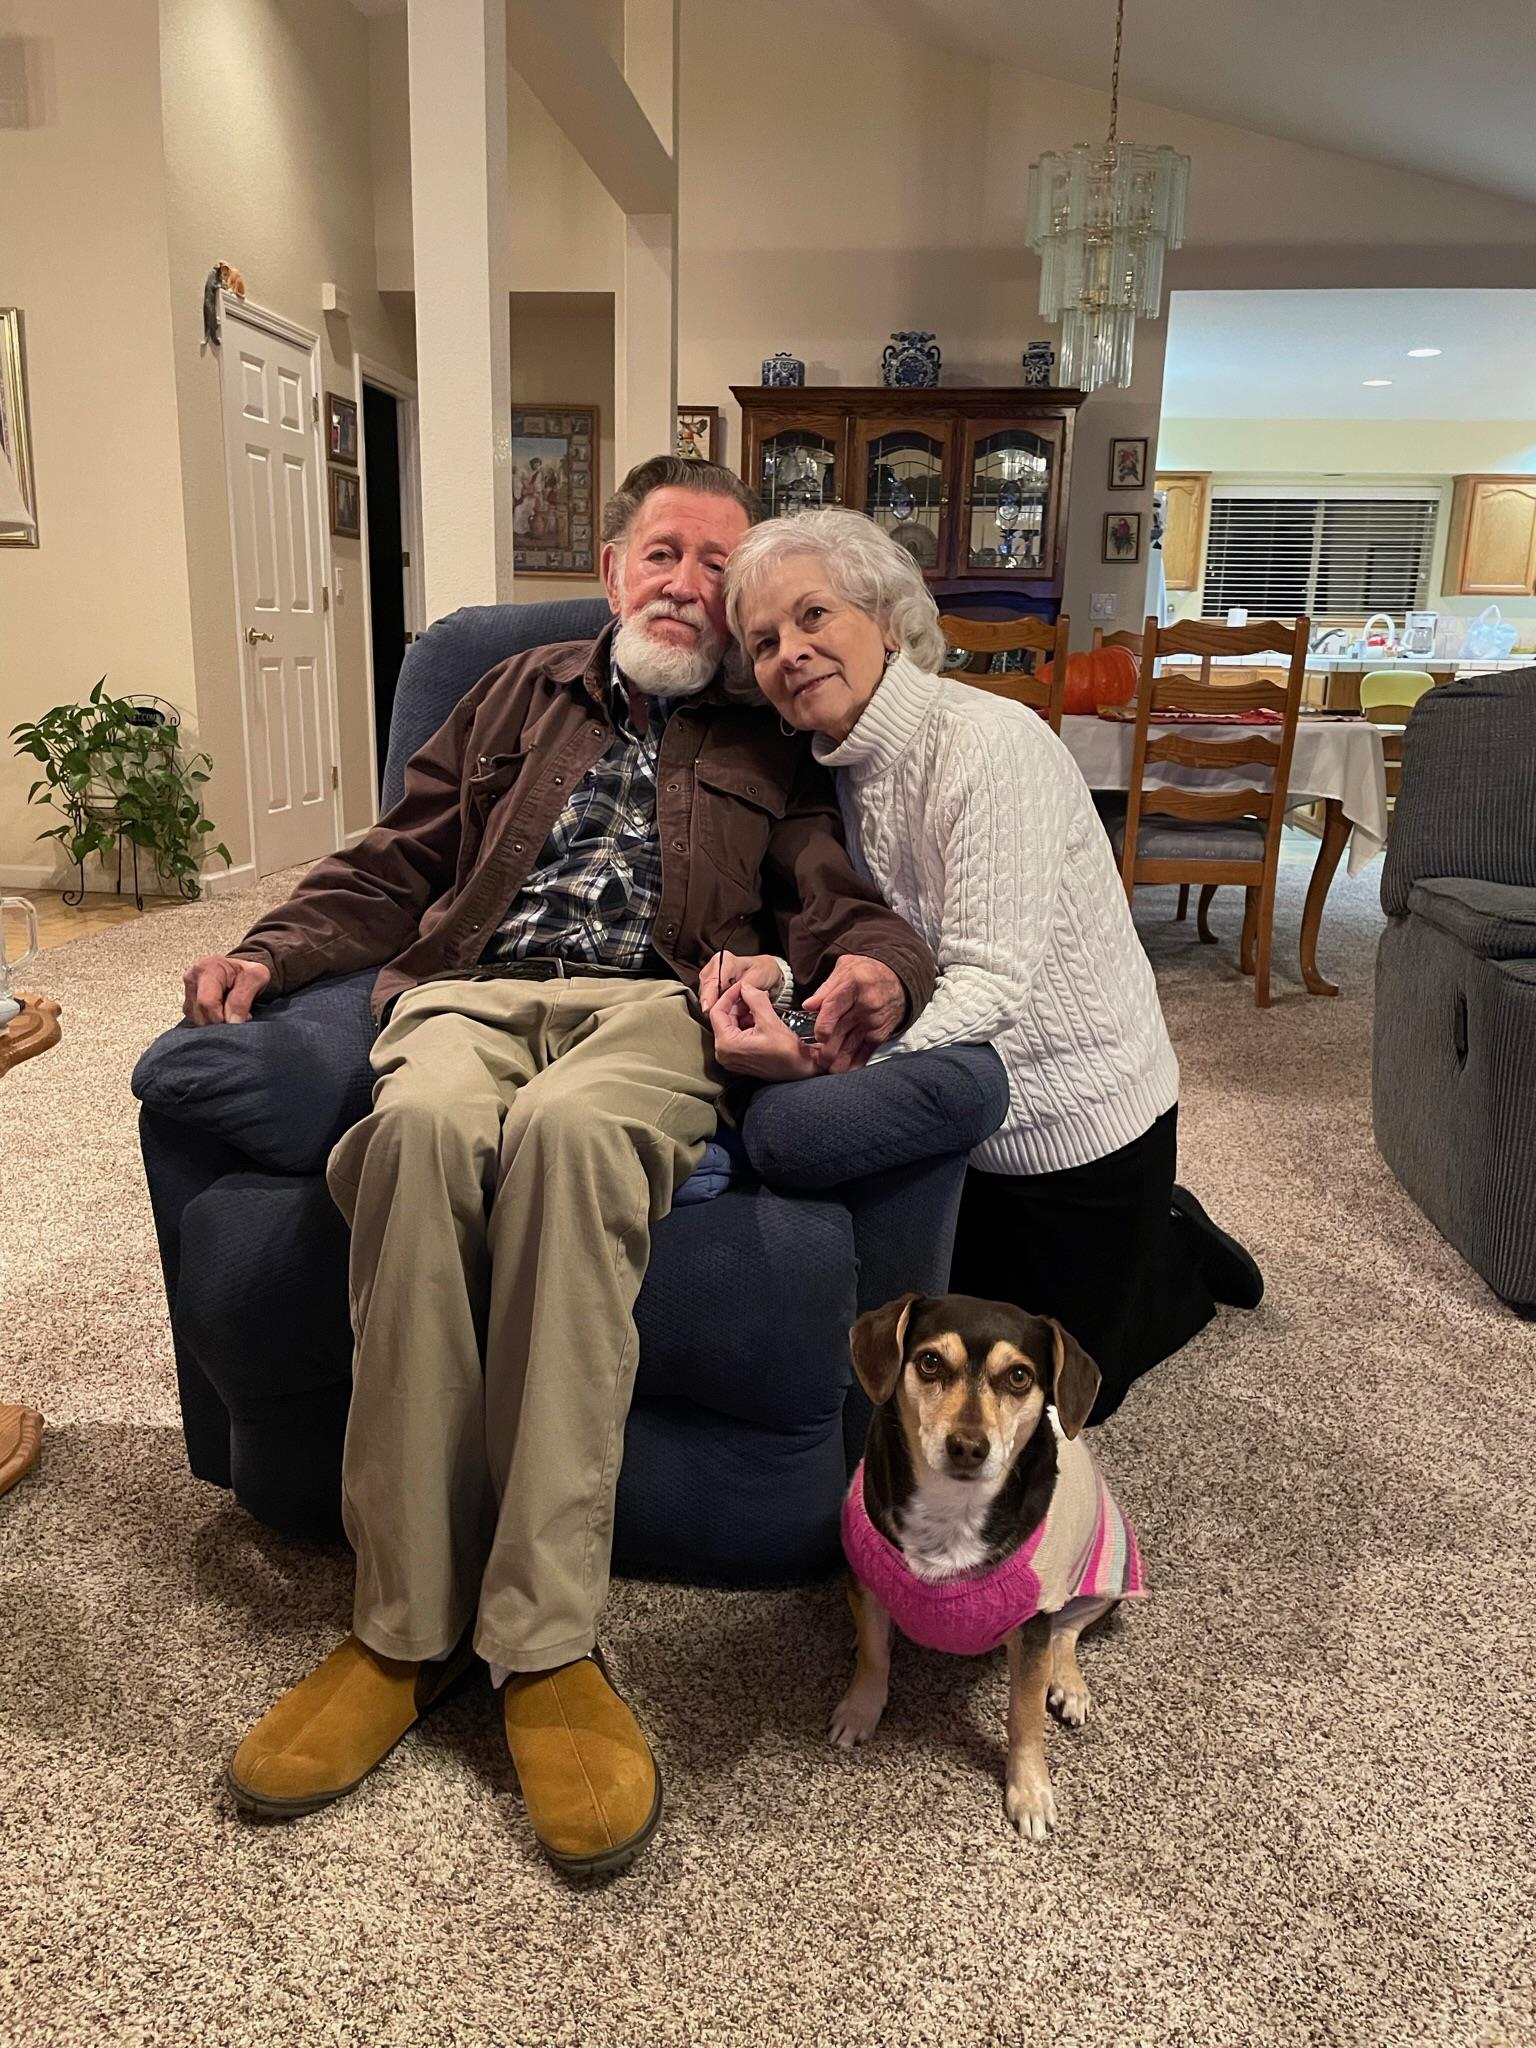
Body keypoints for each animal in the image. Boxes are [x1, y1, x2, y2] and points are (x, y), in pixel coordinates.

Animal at [832, 1292, 1145, 1840]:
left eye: (1019, 1376)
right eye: (929, 1362)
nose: (968, 1446)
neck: (951, 1514)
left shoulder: (1034, 1618)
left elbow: (1025, 1714)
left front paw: (1030, 1791)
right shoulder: (866, 1577)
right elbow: (873, 1655)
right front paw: (860, 1707)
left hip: (1105, 1579)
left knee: (1069, 1630)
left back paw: (1069, 1685)